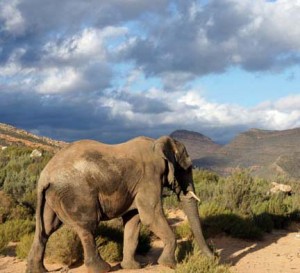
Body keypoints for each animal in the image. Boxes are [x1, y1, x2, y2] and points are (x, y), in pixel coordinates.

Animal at [26, 135, 213, 272]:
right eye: (187, 168)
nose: (213, 257)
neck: (157, 144)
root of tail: (44, 175)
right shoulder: (149, 177)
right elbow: (150, 216)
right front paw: (170, 265)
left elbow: (133, 220)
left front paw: (134, 267)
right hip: (77, 193)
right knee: (87, 226)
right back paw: (103, 269)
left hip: (52, 196)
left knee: (46, 229)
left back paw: (38, 270)